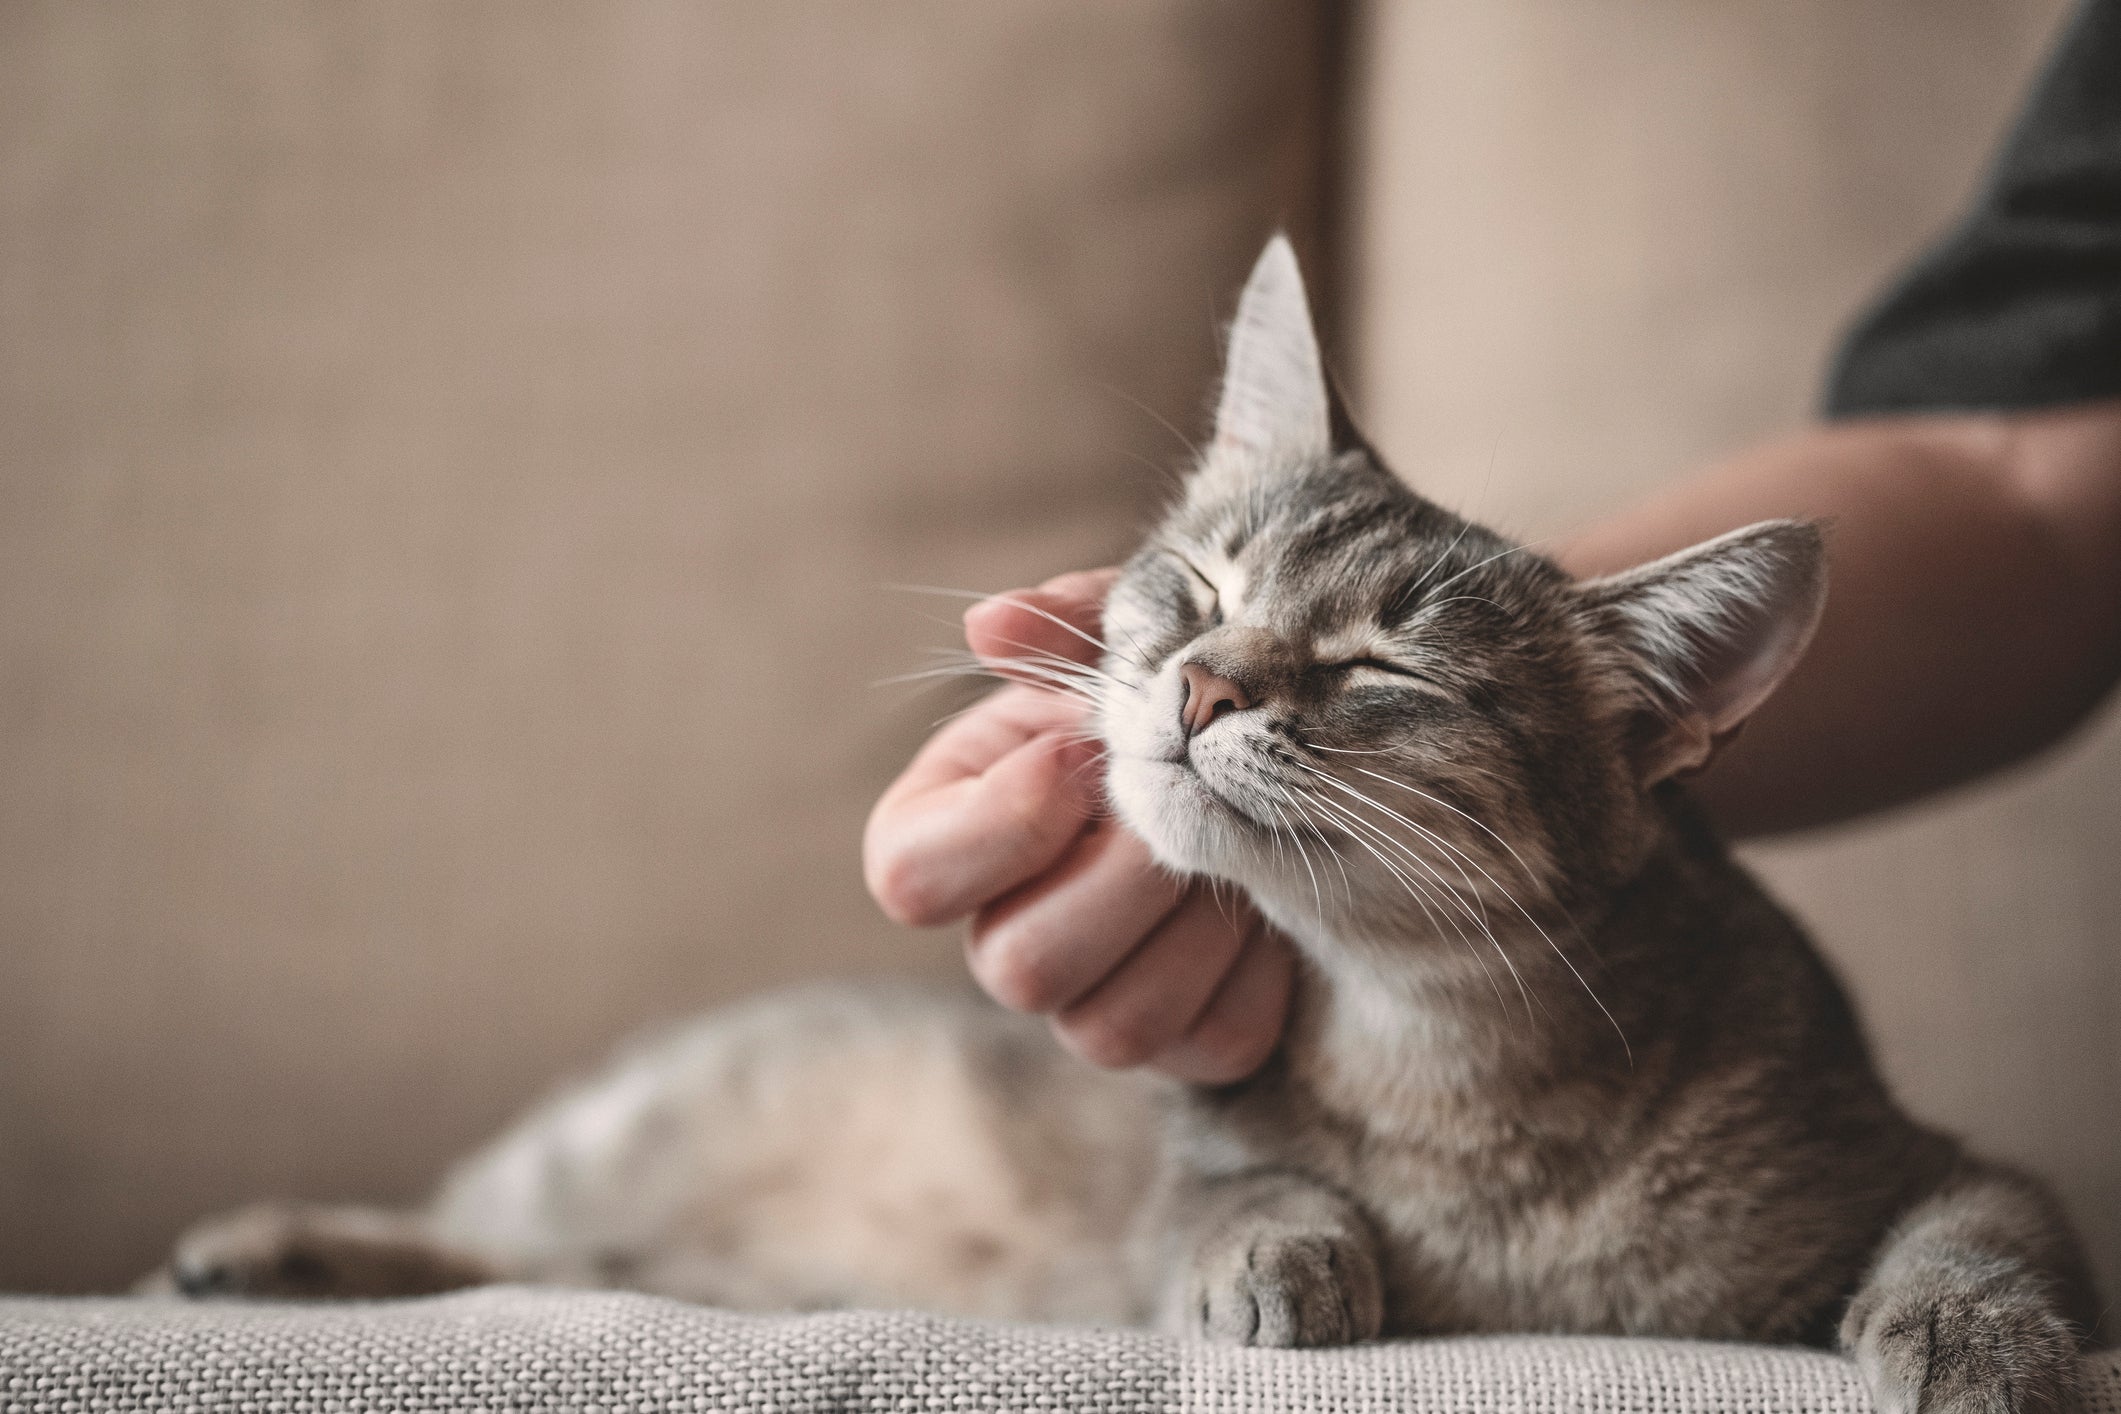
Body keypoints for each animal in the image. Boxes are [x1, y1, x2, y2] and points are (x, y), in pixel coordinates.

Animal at [156, 240, 2095, 1414]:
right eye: (1205, 583)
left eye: (1383, 662)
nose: (1203, 683)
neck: (1444, 1066)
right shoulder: (1189, 1148)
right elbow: (1232, 1186)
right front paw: (1280, 1251)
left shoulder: (1937, 1156)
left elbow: (1985, 1235)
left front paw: (1975, 1339)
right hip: (616, 1141)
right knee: (489, 1231)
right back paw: (276, 1243)